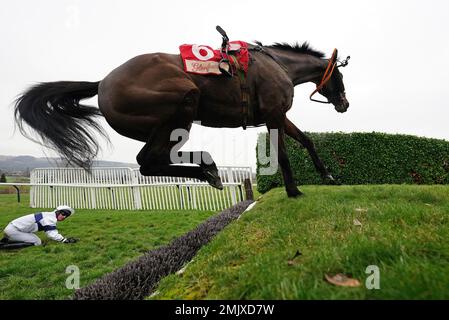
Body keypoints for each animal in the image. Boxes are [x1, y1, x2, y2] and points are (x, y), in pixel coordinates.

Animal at [14, 38, 348, 198]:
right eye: (341, 76)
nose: (344, 103)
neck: (278, 65)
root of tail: (102, 82)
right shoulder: (274, 114)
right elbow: (283, 154)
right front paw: (293, 190)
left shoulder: (280, 116)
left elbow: (306, 140)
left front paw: (327, 175)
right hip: (182, 104)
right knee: (149, 161)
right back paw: (207, 168)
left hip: (154, 126)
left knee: (155, 159)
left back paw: (208, 167)